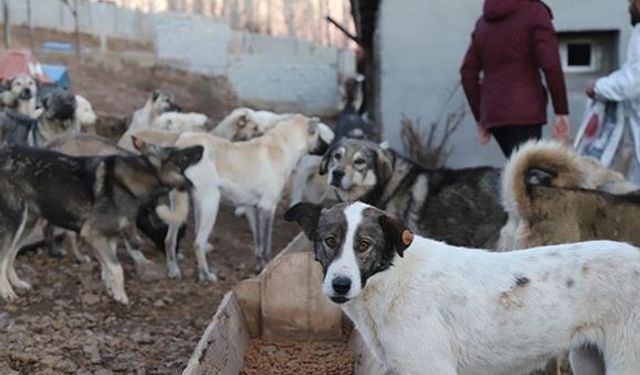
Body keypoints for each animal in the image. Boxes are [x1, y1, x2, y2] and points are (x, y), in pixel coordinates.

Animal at [0, 140, 202, 304]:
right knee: (3, 256)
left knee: (11, 255)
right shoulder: (93, 234)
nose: (201, 147)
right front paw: (122, 296)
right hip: (15, 221)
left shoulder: (108, 237)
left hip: (27, 223)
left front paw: (114, 291)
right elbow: (118, 268)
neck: (130, 184)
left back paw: (17, 283)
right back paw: (7, 292)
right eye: (181, 154)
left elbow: (109, 268)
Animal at [288, 203, 640, 375]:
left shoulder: (431, 369)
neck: (392, 277)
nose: (340, 284)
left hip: (625, 362)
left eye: (363, 245)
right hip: (589, 359)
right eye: (329, 240)